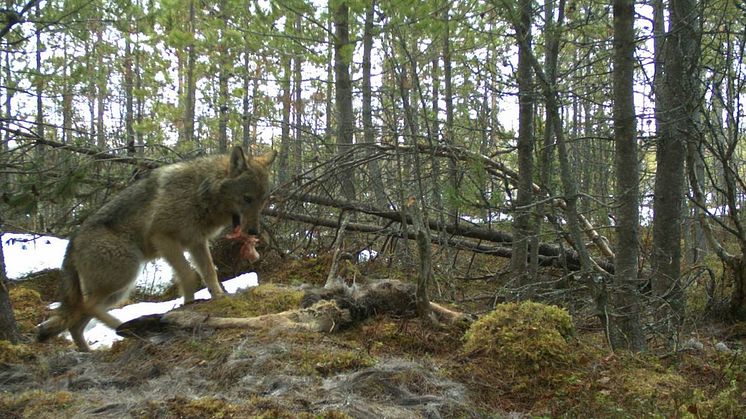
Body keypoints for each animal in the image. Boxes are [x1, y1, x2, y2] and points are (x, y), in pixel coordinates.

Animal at [37, 146, 276, 350]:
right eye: (247, 199)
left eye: (263, 201)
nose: (254, 231)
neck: (199, 191)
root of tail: (72, 241)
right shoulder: (164, 238)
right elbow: (189, 276)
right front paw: (189, 305)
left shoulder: (196, 242)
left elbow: (209, 273)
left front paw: (214, 298)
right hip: (124, 277)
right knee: (84, 309)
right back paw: (122, 327)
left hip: (117, 291)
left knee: (76, 321)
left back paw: (90, 350)